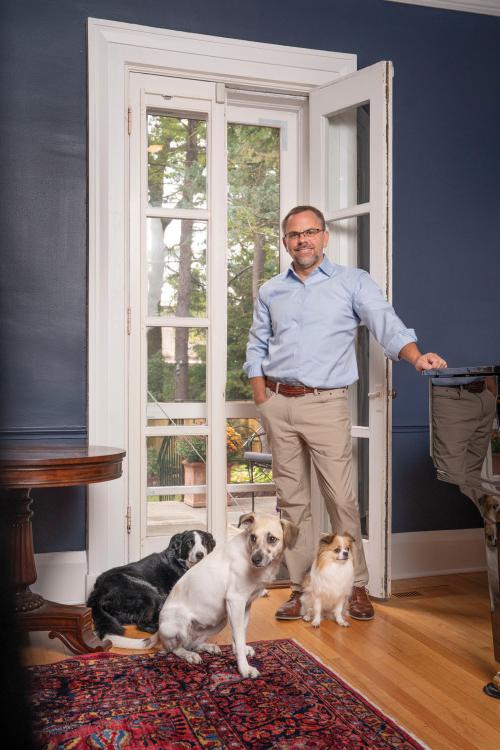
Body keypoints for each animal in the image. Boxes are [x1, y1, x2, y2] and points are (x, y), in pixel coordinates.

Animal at [86, 528, 215, 640]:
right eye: (189, 543)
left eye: (205, 542)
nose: (200, 554)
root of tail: (98, 591)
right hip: (149, 592)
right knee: (144, 624)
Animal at [109, 516, 296, 680]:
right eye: (253, 538)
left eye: (272, 539)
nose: (256, 559)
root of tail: (159, 630)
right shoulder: (235, 601)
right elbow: (238, 634)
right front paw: (245, 669)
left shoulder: (245, 605)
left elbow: (240, 633)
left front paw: (239, 649)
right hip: (177, 623)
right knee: (173, 648)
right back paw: (189, 655)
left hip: (220, 620)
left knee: (192, 642)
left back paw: (208, 647)